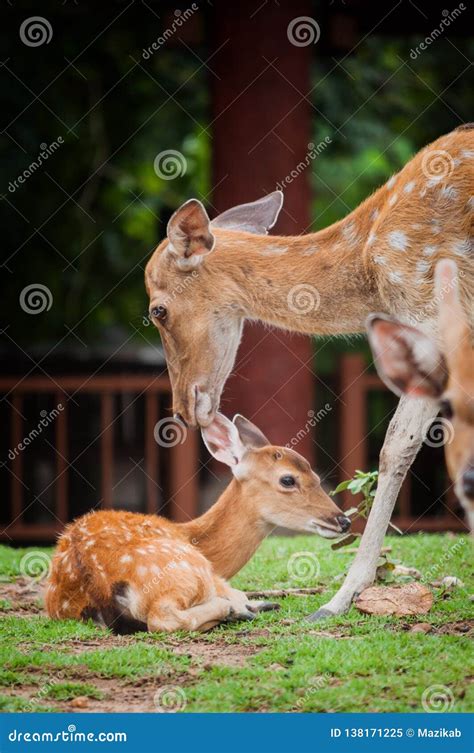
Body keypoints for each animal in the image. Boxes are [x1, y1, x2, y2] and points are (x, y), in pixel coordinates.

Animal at [47, 414, 348, 632]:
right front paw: (248, 604)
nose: (342, 520)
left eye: (316, 476)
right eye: (288, 479)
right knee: (163, 618)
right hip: (186, 571)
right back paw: (238, 610)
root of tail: (97, 586)